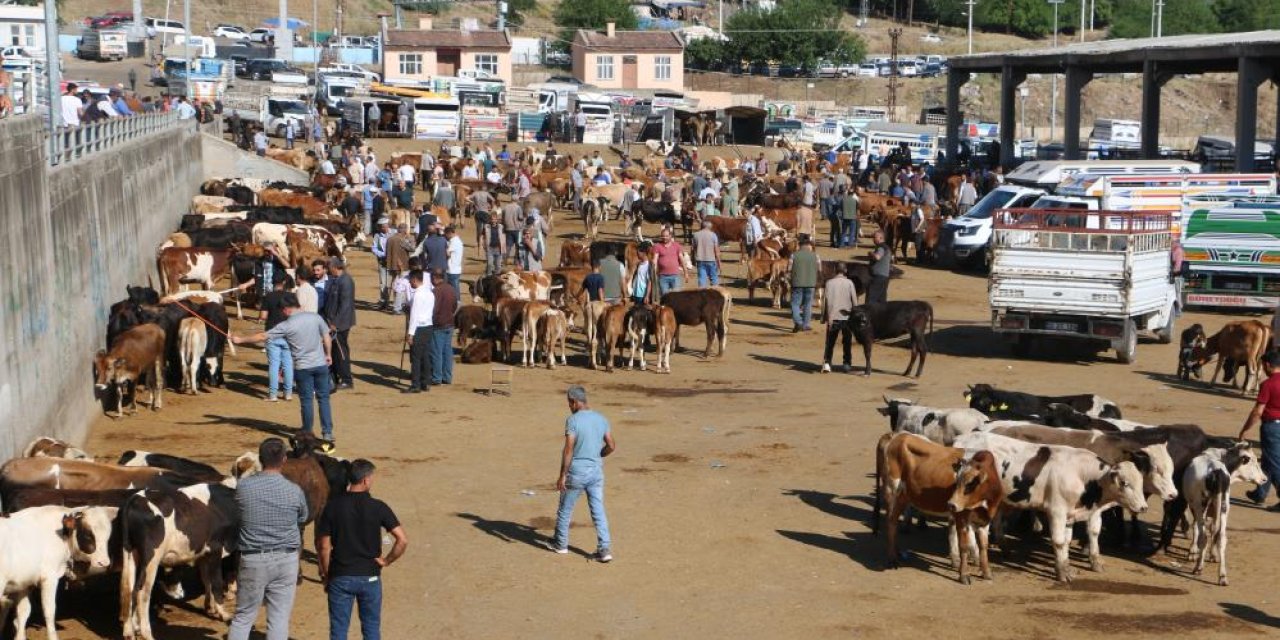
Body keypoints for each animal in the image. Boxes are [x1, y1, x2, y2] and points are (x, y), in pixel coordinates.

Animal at [875, 430, 1003, 586]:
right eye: (956, 481)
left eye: (971, 483)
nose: (951, 504)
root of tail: (895, 434)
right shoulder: (961, 517)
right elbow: (964, 546)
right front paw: (964, 575)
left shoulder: (985, 519)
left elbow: (984, 546)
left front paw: (986, 573)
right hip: (892, 489)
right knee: (891, 522)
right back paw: (892, 558)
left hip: (903, 496)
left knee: (893, 523)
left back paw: (897, 552)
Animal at [1177, 445, 1269, 586]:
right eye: (1252, 461)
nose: (1265, 479)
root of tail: (1216, 470)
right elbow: (1214, 530)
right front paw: (1213, 555)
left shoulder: (1196, 507)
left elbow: (1197, 528)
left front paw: (1193, 552)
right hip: (1224, 506)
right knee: (1221, 537)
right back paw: (1222, 576)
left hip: (1201, 504)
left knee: (1204, 536)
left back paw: (1198, 567)